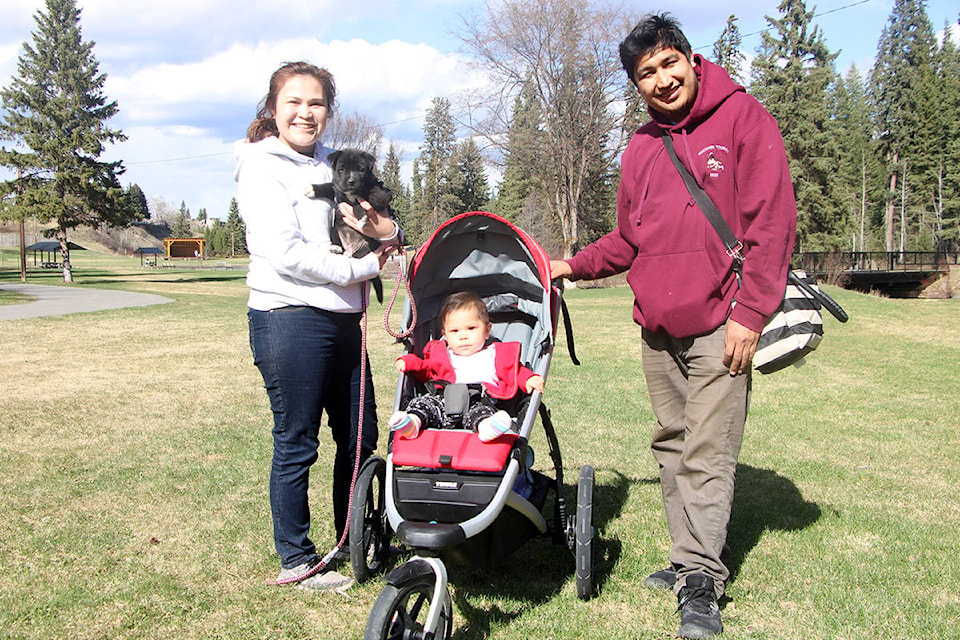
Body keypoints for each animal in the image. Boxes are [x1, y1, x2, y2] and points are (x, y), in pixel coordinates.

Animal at [310, 148, 396, 302]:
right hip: (333, 229)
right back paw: (336, 248)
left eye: (361, 169)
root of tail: (350, 249)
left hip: (370, 246)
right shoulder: (338, 191)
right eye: (341, 169)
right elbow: (331, 187)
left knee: (357, 257)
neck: (350, 194)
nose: (351, 181)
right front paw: (313, 188)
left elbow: (362, 200)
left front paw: (360, 216)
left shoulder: (380, 196)